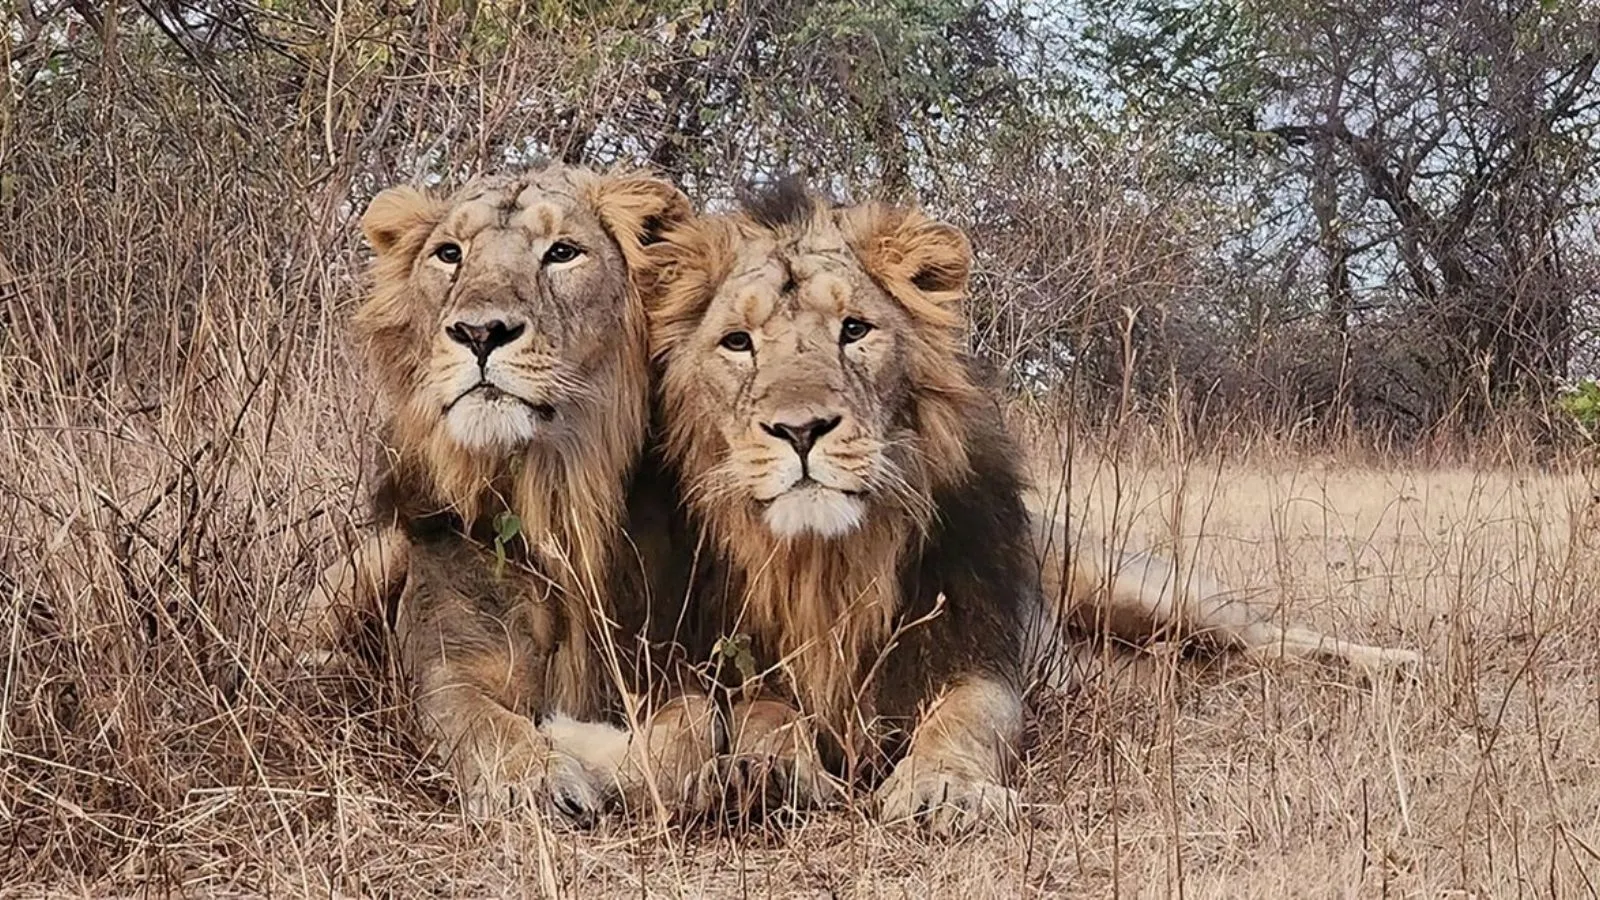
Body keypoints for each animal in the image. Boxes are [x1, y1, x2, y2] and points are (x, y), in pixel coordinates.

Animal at [308, 163, 723, 824]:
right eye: (449, 254)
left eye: (562, 253)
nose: (480, 331)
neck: (548, 496)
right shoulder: (444, 667)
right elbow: (480, 721)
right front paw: (537, 776)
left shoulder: (670, 661)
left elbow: (698, 731)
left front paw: (592, 750)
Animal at [639, 178, 1420, 834]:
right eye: (738, 343)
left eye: (854, 329)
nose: (801, 430)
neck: (830, 564)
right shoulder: (732, 660)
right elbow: (764, 713)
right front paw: (766, 775)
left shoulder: (978, 652)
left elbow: (963, 723)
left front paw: (943, 790)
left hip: (1131, 589)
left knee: (1265, 634)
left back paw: (1397, 663)